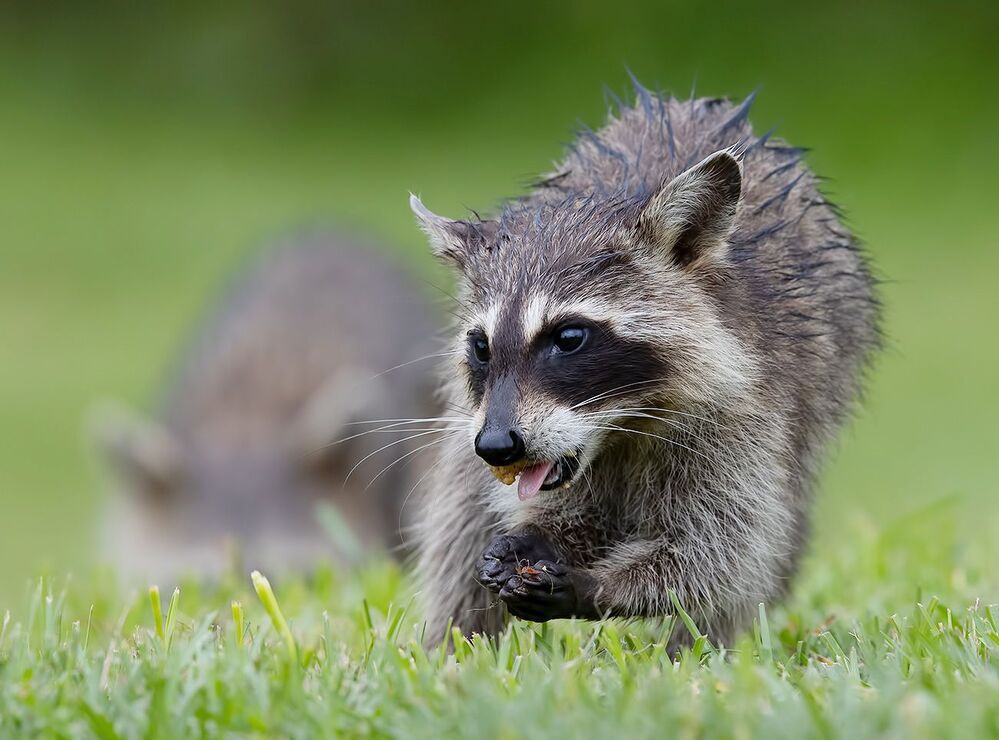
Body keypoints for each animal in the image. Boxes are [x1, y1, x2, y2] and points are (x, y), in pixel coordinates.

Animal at [410, 83, 880, 647]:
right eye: (482, 347)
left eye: (569, 338)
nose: (498, 446)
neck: (619, 426)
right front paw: (539, 537)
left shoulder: (749, 410)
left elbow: (723, 551)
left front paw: (596, 587)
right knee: (460, 516)